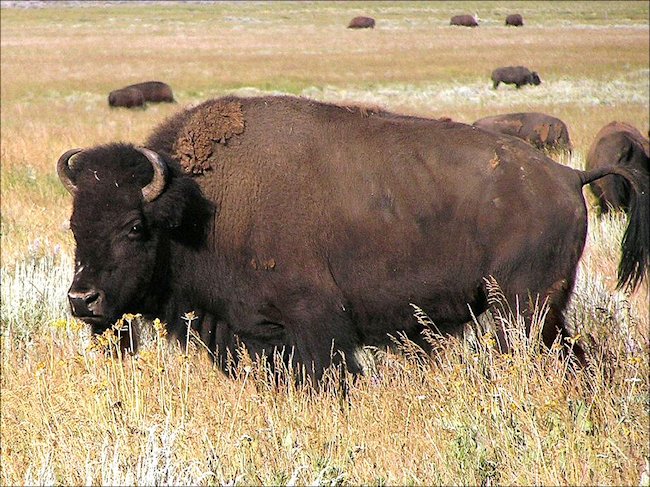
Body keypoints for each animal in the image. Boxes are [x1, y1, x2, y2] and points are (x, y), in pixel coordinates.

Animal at [57, 95, 648, 382]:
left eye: (135, 226)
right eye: (75, 224)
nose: (81, 300)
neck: (200, 207)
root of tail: (568, 176)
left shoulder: (315, 325)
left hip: (521, 311)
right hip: (545, 314)